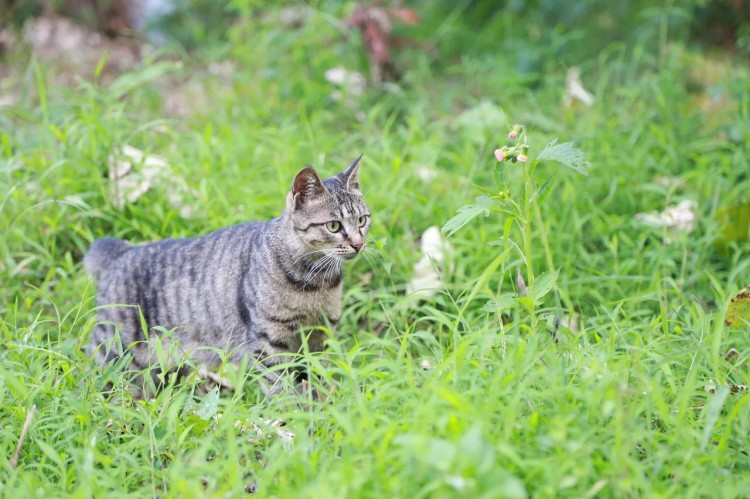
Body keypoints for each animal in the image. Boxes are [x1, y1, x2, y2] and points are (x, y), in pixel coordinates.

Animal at [85, 154, 370, 396]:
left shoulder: (321, 333)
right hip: (114, 355)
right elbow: (279, 385)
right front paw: (291, 413)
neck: (315, 280)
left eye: (363, 220)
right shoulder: (269, 339)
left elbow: (317, 375)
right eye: (333, 226)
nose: (358, 244)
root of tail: (121, 252)